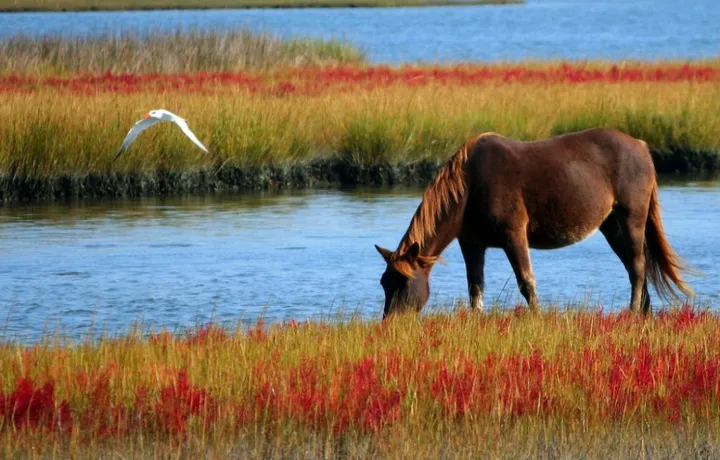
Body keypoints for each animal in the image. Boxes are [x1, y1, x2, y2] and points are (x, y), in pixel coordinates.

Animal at [374, 128, 693, 318]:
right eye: (384, 283)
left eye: (403, 283)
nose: (391, 323)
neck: (470, 185)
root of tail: (641, 146)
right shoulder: (472, 243)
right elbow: (475, 286)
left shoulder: (514, 235)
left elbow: (526, 282)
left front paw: (537, 317)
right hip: (611, 226)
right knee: (634, 266)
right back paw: (643, 312)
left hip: (631, 218)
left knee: (638, 267)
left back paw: (632, 312)